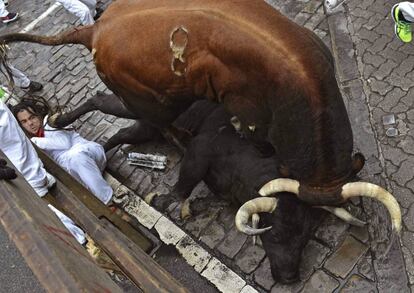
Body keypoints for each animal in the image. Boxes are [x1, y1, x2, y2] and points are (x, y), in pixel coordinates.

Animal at [0, 0, 402, 233]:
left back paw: (61, 121)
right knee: (150, 121)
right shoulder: (251, 117)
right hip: (151, 101)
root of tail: (96, 27)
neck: (304, 81)